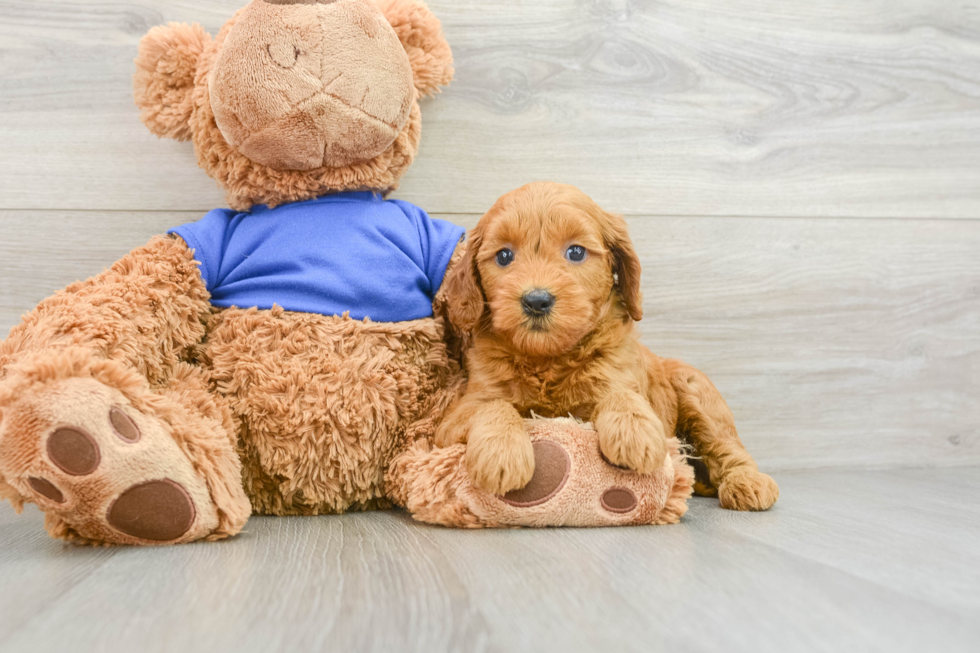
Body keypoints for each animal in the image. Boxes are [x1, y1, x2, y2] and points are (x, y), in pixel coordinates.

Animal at [438, 182, 780, 510]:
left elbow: (621, 394)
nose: (536, 300)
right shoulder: (457, 416)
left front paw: (635, 433)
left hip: (694, 387)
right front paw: (503, 453)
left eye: (576, 252)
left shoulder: (619, 373)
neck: (548, 359)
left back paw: (748, 482)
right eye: (504, 256)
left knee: (726, 444)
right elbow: (493, 405)